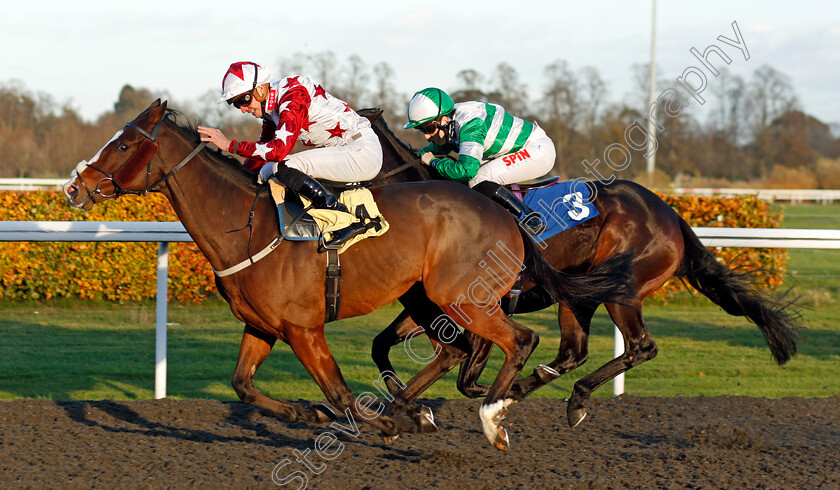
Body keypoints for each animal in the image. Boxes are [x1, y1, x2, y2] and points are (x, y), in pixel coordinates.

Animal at [60, 100, 636, 452]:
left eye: (124, 145)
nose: (73, 187)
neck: (247, 226)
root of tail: (501, 209)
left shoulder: (303, 328)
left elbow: (338, 394)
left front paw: (393, 421)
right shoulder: (262, 326)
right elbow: (244, 386)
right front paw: (315, 415)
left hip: (462, 298)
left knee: (520, 339)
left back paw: (494, 417)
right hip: (426, 297)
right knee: (469, 348)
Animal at [360, 108, 800, 428]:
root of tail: (670, 213)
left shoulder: (478, 307)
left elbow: (466, 377)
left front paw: (470, 399)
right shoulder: (431, 306)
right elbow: (382, 344)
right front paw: (415, 407)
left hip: (621, 289)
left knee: (640, 347)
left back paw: (571, 397)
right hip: (577, 296)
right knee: (574, 352)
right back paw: (542, 387)